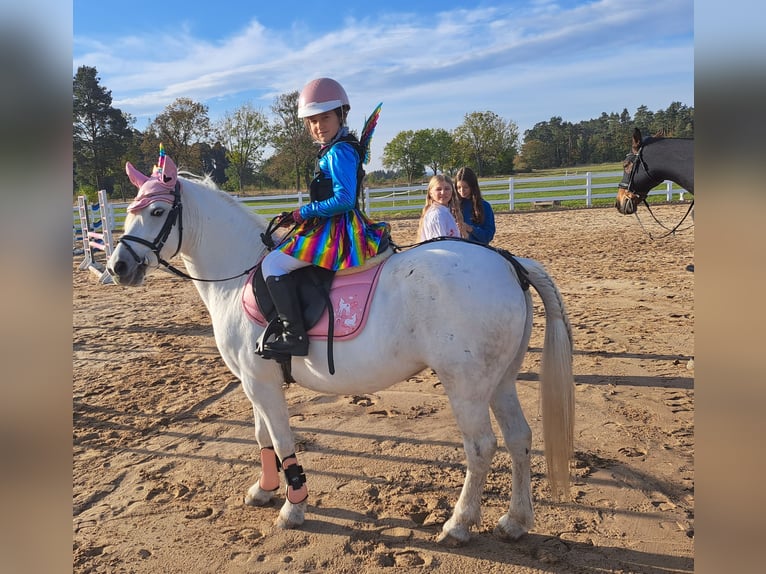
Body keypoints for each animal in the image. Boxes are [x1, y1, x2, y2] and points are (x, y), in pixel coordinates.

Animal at [108, 159, 576, 548]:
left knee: (481, 447)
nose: (117, 267)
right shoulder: (254, 382)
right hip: (501, 380)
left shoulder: (262, 384)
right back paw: (515, 521)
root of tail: (507, 262)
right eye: (129, 210)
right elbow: (263, 437)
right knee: (519, 439)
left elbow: (282, 440)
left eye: (155, 212)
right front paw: (264, 489)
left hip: (467, 386)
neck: (236, 277)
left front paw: (293, 507)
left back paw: (458, 525)